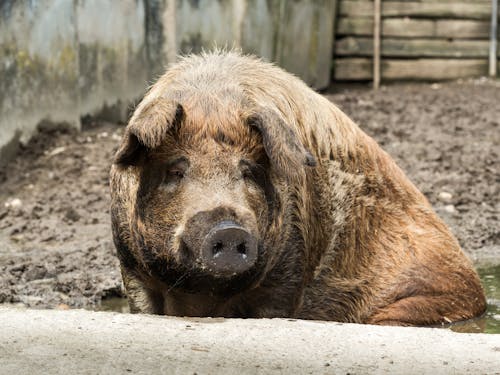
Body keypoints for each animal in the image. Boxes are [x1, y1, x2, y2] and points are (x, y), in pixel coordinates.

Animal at [108, 50, 484, 326]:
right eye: (176, 170)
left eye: (249, 171)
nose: (227, 227)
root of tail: (477, 287)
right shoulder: (132, 270)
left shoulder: (289, 270)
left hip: (421, 299)